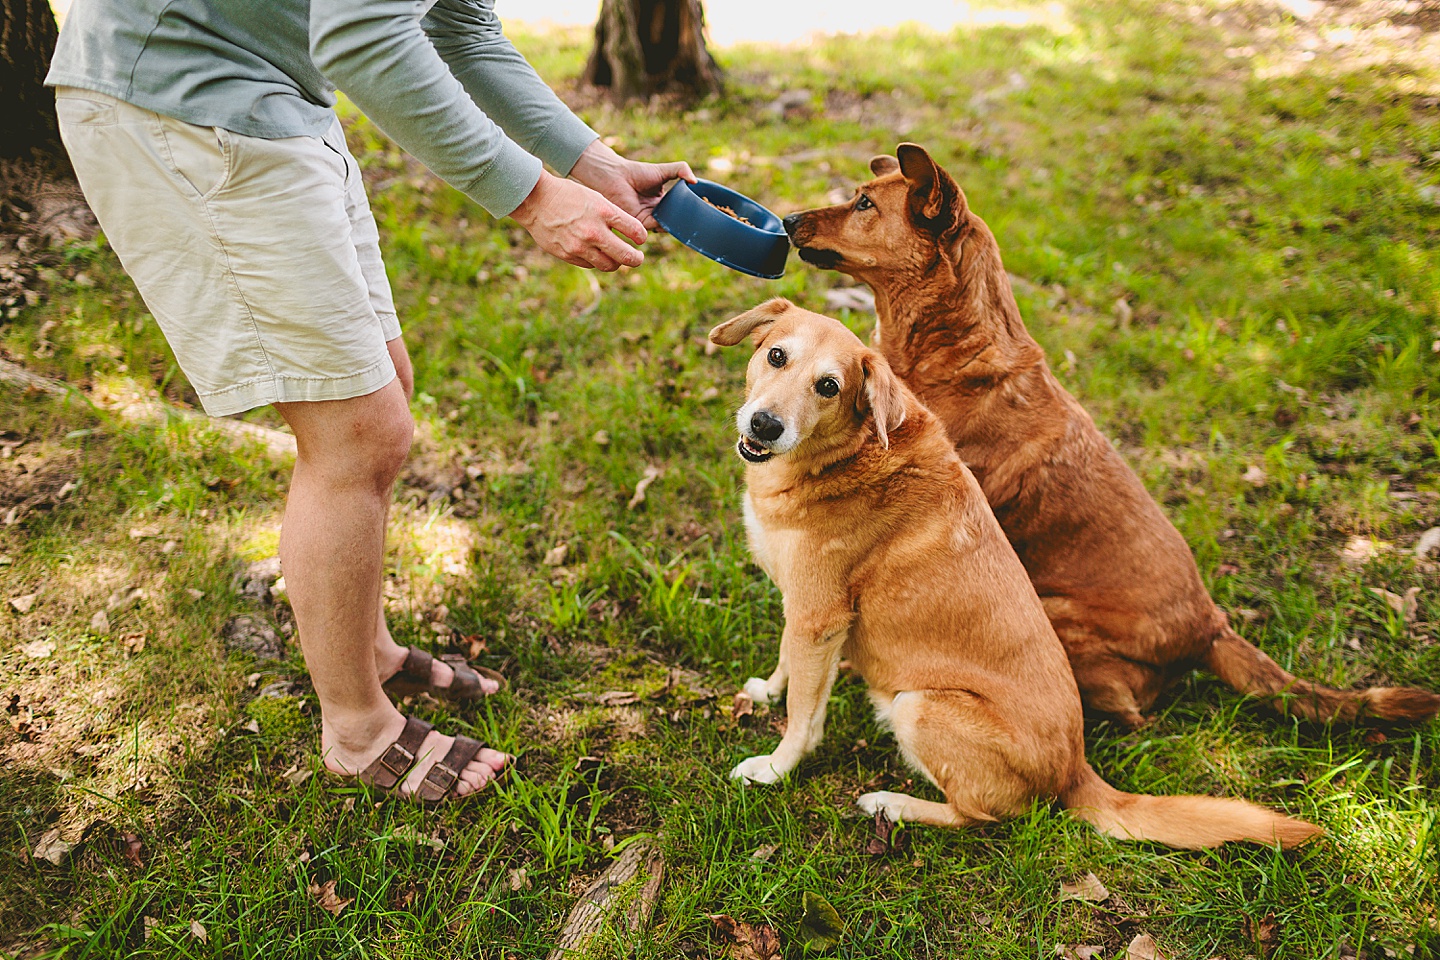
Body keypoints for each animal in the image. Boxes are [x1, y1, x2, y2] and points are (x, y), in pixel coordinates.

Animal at [714, 300, 1319, 846]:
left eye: (829, 387)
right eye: (776, 356)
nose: (764, 424)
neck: (843, 456)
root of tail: (1076, 769)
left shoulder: (820, 618)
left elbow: (804, 718)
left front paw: (774, 769)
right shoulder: (804, 617)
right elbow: (788, 665)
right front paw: (767, 691)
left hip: (919, 706)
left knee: (982, 816)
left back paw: (893, 804)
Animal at [783, 144, 1440, 728]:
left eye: (864, 203)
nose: (787, 221)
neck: (950, 348)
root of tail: (1211, 625)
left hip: (1054, 609)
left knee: (1128, 708)